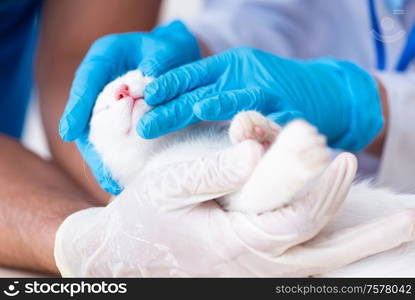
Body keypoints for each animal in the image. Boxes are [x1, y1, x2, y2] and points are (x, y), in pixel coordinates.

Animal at [88, 70, 415, 276]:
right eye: (103, 108)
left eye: (141, 76)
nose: (122, 90)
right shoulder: (231, 205)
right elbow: (258, 196)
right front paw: (291, 155)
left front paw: (259, 128)